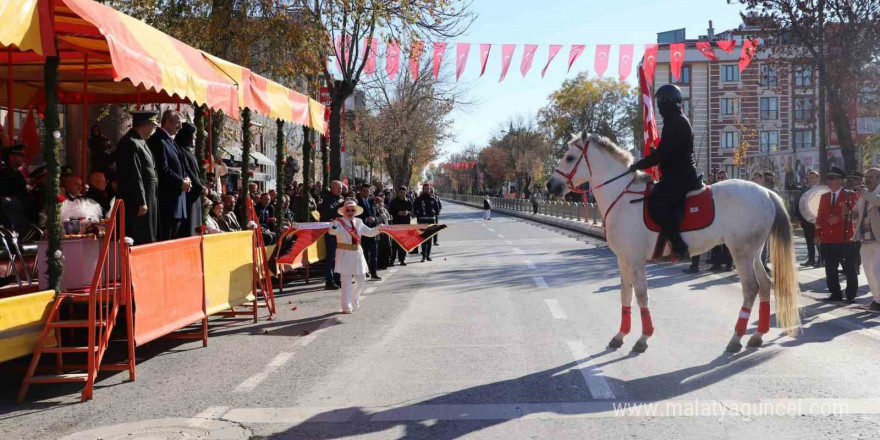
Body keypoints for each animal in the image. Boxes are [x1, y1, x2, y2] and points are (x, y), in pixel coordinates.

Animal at [548, 132, 800, 352]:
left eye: (569, 157)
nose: (551, 185)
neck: (622, 197)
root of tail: (766, 192)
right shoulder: (622, 259)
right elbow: (625, 295)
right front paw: (620, 335)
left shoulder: (636, 260)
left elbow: (641, 295)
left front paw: (643, 338)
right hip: (754, 252)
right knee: (765, 285)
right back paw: (757, 335)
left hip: (740, 252)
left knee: (751, 289)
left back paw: (736, 338)